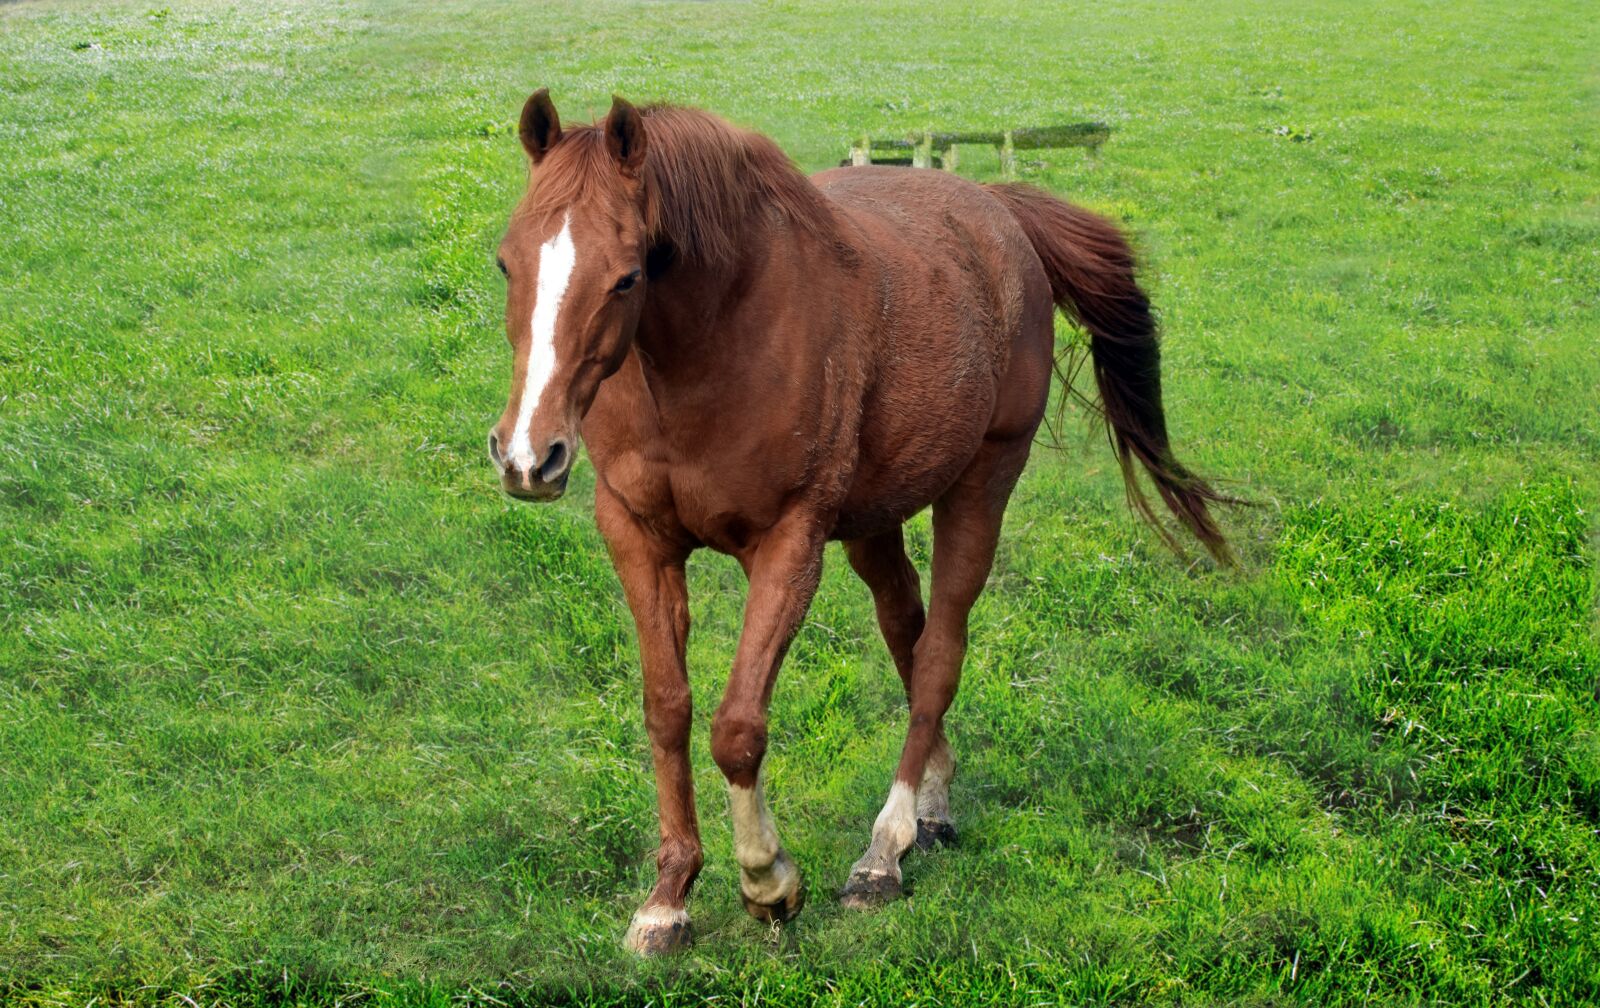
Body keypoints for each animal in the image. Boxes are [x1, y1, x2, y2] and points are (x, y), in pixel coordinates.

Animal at [486, 90, 1232, 954]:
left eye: (627, 275)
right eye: (506, 262)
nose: (528, 455)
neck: (715, 341)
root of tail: (998, 212)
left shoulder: (790, 543)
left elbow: (737, 727)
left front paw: (769, 881)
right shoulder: (636, 533)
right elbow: (667, 710)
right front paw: (668, 896)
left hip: (981, 486)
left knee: (938, 652)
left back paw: (886, 847)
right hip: (874, 524)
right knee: (906, 628)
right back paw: (932, 804)